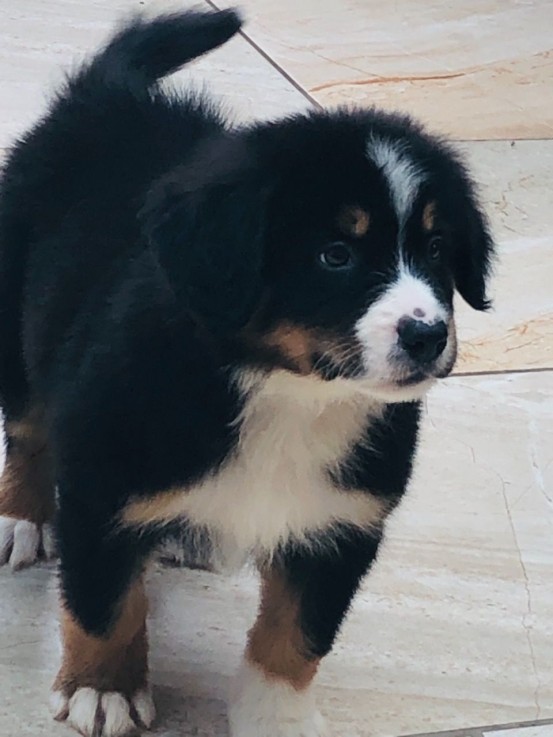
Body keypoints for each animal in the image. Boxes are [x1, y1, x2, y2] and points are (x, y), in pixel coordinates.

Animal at [0, 7, 494, 736]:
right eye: (335, 254)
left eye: (435, 248)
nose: (428, 334)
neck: (286, 394)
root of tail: (107, 93)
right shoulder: (100, 485)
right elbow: (104, 604)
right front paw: (103, 688)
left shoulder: (340, 521)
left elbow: (296, 635)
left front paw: (277, 717)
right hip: (15, 332)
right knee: (29, 429)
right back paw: (22, 518)